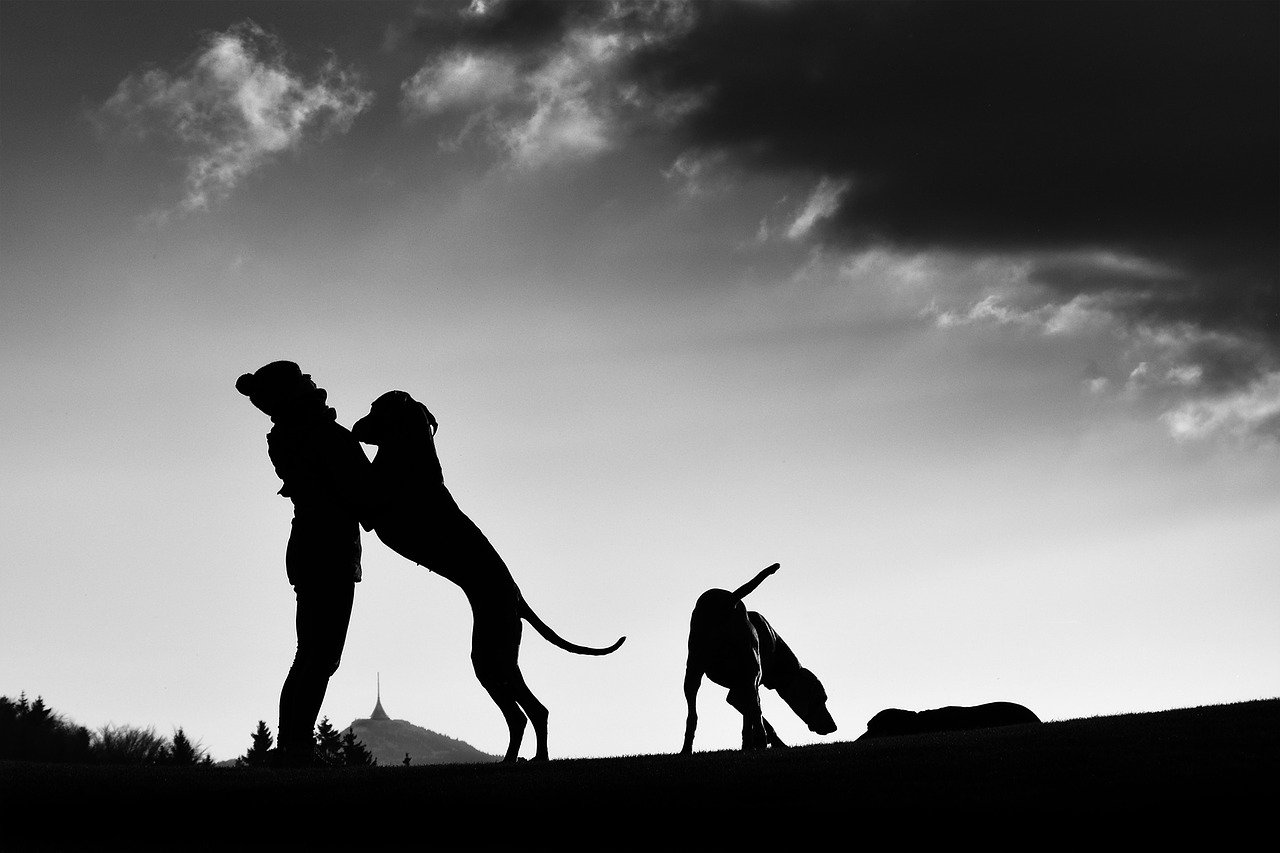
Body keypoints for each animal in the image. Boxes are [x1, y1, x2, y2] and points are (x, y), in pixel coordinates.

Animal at [355, 389, 624, 758]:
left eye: (377, 408)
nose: (356, 427)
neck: (409, 452)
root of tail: (518, 598)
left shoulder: (372, 512)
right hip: (503, 658)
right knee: (534, 710)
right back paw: (532, 758)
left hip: (489, 658)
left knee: (520, 715)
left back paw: (520, 758)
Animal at [680, 563, 839, 753]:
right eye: (820, 699)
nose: (833, 727)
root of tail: (729, 600)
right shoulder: (744, 688)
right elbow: (758, 718)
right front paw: (773, 743)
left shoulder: (738, 690)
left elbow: (747, 721)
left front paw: (747, 746)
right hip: (750, 672)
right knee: (756, 710)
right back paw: (761, 741)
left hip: (694, 671)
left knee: (692, 715)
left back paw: (686, 749)